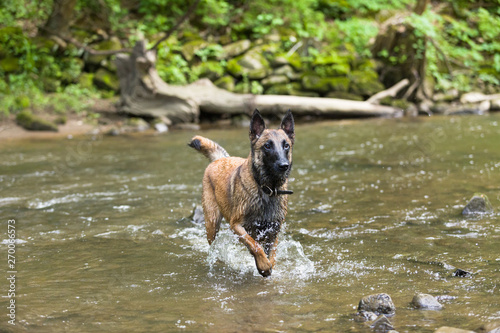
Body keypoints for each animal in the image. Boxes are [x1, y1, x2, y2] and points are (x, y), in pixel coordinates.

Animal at [189, 109, 294, 274]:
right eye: (267, 146)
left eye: (286, 146)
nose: (284, 166)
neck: (267, 189)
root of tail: (219, 159)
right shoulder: (236, 225)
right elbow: (254, 245)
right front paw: (263, 265)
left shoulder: (274, 230)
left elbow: (272, 253)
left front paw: (268, 264)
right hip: (212, 222)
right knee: (213, 245)